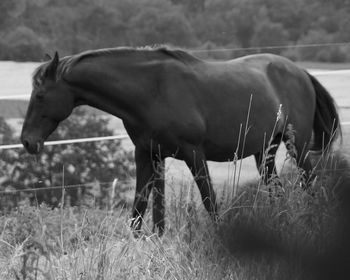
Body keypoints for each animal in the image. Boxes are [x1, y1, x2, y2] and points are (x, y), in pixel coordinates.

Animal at [20, 46, 340, 234]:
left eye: (40, 95)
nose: (27, 142)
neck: (151, 91)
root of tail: (301, 72)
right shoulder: (147, 155)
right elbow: (141, 208)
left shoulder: (193, 154)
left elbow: (210, 202)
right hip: (265, 152)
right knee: (278, 191)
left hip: (297, 147)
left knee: (310, 183)